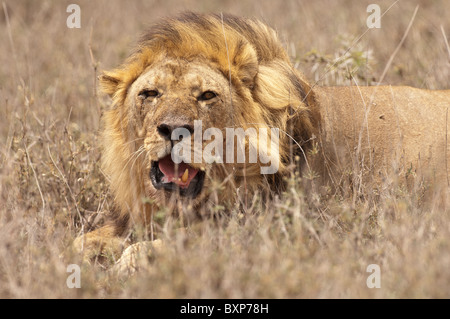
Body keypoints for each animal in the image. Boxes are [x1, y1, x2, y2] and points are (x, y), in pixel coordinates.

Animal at [74, 12, 450, 266]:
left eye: (207, 96)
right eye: (150, 94)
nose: (174, 129)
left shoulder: (254, 229)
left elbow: (154, 248)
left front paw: (127, 264)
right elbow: (80, 242)